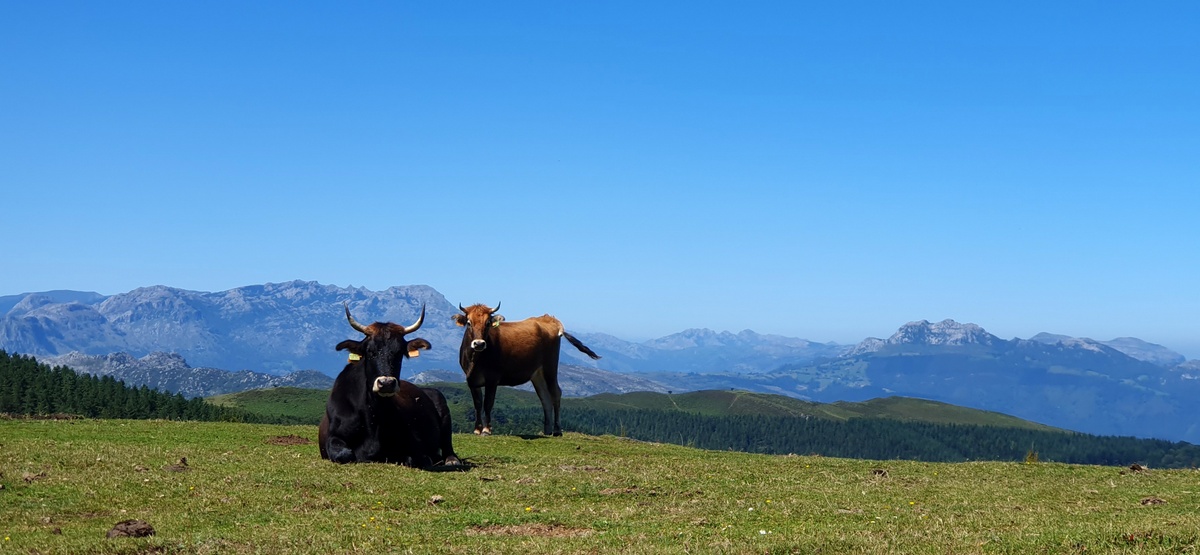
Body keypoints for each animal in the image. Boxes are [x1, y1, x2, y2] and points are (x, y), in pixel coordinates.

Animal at [316, 303, 460, 468]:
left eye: (400, 353)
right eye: (370, 351)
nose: (386, 383)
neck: (373, 415)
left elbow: (415, 458)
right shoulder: (334, 437)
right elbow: (344, 454)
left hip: (442, 406)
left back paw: (451, 459)